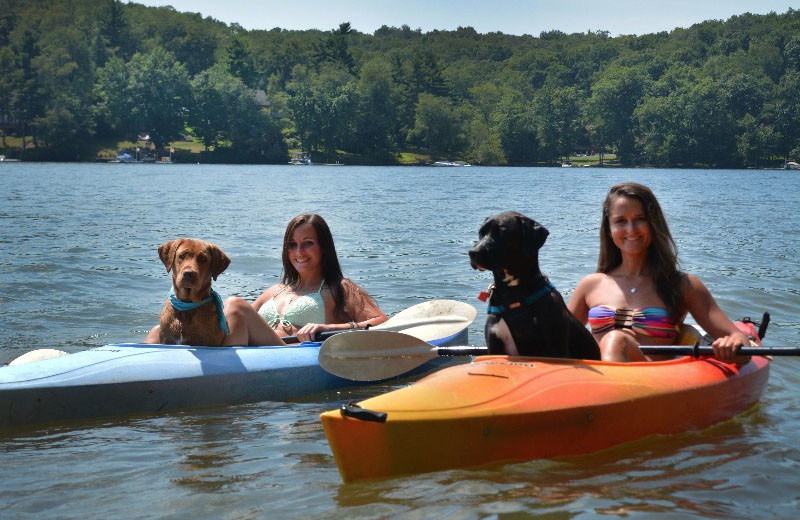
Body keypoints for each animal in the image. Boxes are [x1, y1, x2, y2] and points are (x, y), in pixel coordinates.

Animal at [468, 211, 600, 362]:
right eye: (481, 232)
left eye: (502, 232)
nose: (473, 252)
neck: (512, 292)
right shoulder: (495, 346)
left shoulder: (557, 349)